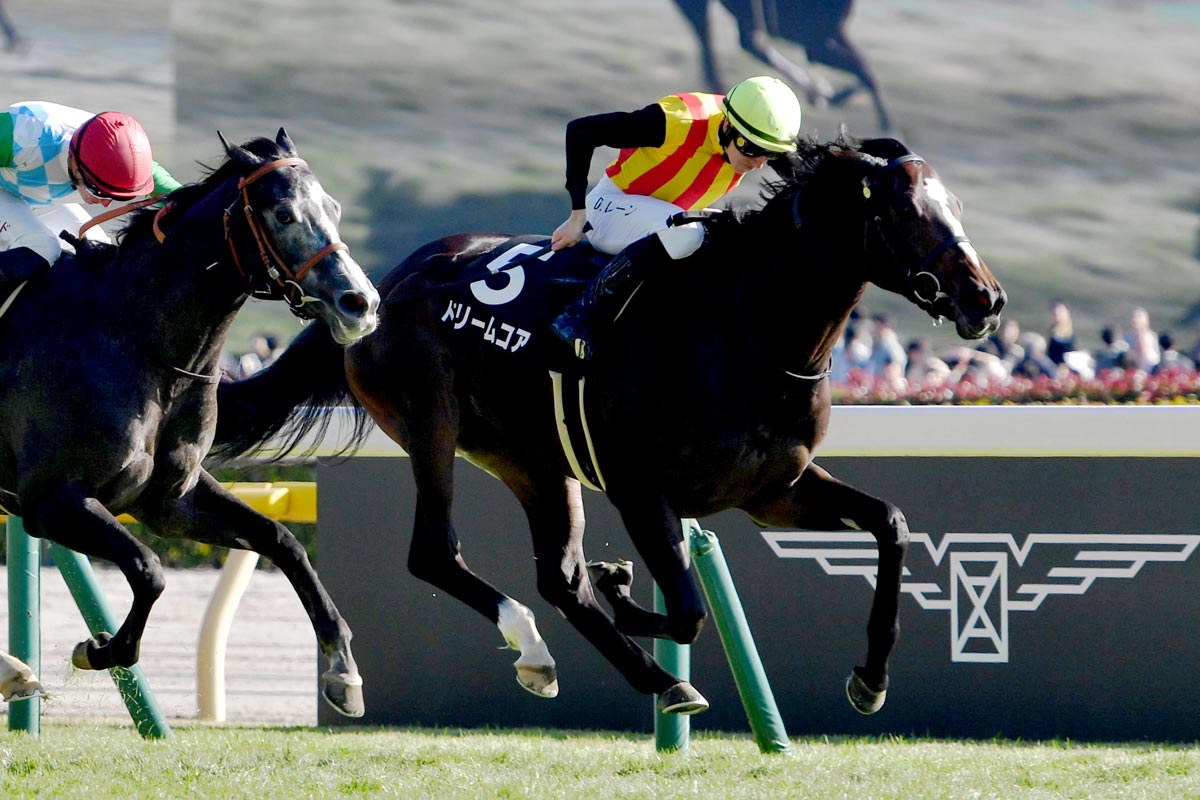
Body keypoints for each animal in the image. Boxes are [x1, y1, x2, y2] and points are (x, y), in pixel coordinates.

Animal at [0, 129, 380, 717]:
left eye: (334, 208)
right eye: (284, 213)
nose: (359, 303)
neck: (137, 338)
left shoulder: (170, 500)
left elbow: (281, 539)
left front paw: (343, 670)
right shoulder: (52, 501)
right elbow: (150, 570)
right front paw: (100, 648)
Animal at [212, 135, 1005, 716]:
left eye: (956, 204)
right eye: (905, 214)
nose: (985, 299)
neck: (747, 327)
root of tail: (384, 285)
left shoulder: (774, 490)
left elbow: (891, 523)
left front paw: (870, 678)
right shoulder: (640, 488)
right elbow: (686, 610)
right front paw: (624, 586)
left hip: (532, 461)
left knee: (558, 579)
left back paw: (640, 672)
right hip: (430, 424)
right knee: (437, 554)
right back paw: (558, 651)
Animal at [672, 0, 893, 132]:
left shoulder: (829, 35)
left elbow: (862, 67)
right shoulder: (815, 41)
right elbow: (864, 70)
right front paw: (887, 124)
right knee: (749, 41)